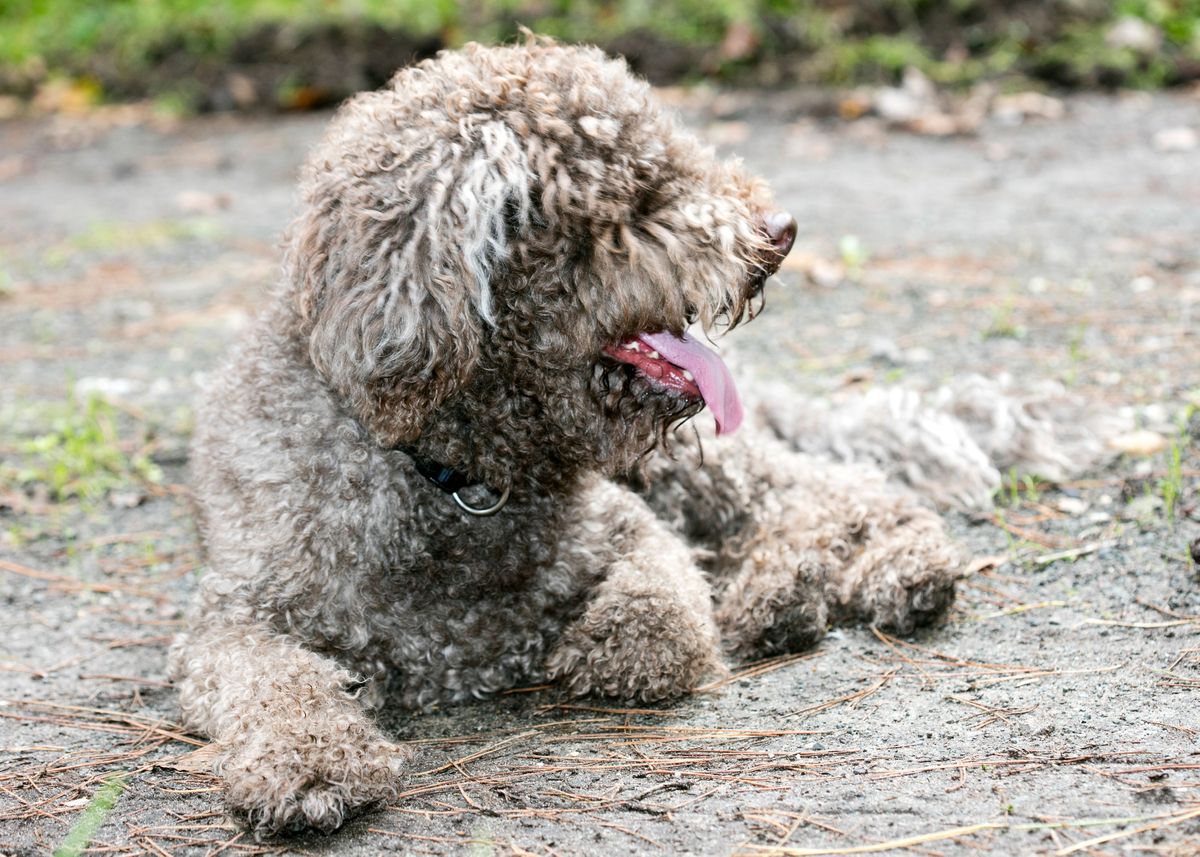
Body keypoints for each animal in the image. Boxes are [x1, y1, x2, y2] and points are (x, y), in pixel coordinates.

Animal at [169, 36, 960, 830]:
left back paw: (879, 571)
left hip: (681, 466)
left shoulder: (633, 532)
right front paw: (308, 759)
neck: (456, 476)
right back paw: (782, 596)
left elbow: (663, 613)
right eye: (641, 197)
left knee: (829, 492)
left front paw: (609, 643)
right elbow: (272, 681)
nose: (784, 230)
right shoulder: (238, 615)